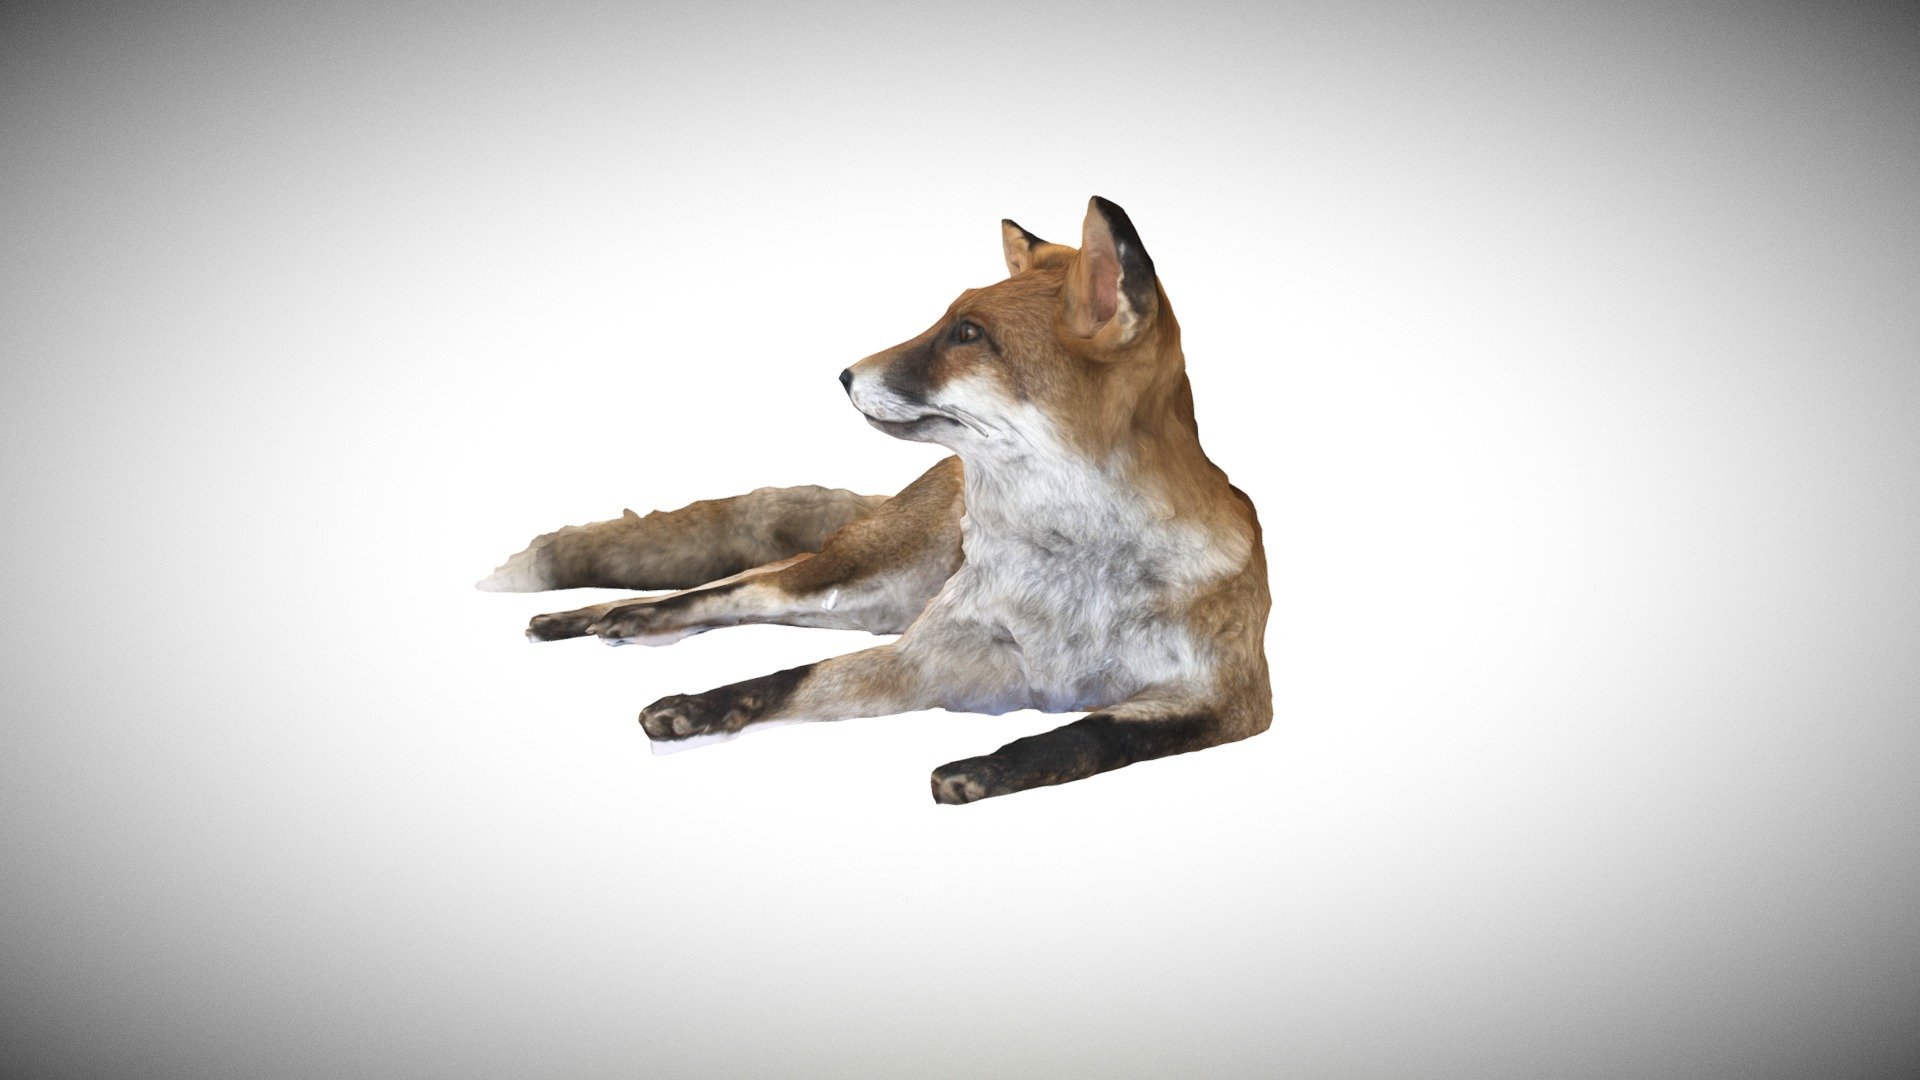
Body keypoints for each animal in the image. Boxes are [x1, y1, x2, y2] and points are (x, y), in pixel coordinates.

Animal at [479, 197, 1272, 803]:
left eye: (967, 335)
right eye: (947, 321)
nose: (842, 375)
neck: (1071, 581)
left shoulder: (1231, 699)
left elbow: (1091, 732)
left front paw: (982, 771)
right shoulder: (931, 656)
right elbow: (785, 679)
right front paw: (695, 707)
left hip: (870, 605)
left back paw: (616, 625)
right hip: (850, 581)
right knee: (729, 589)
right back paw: (596, 618)